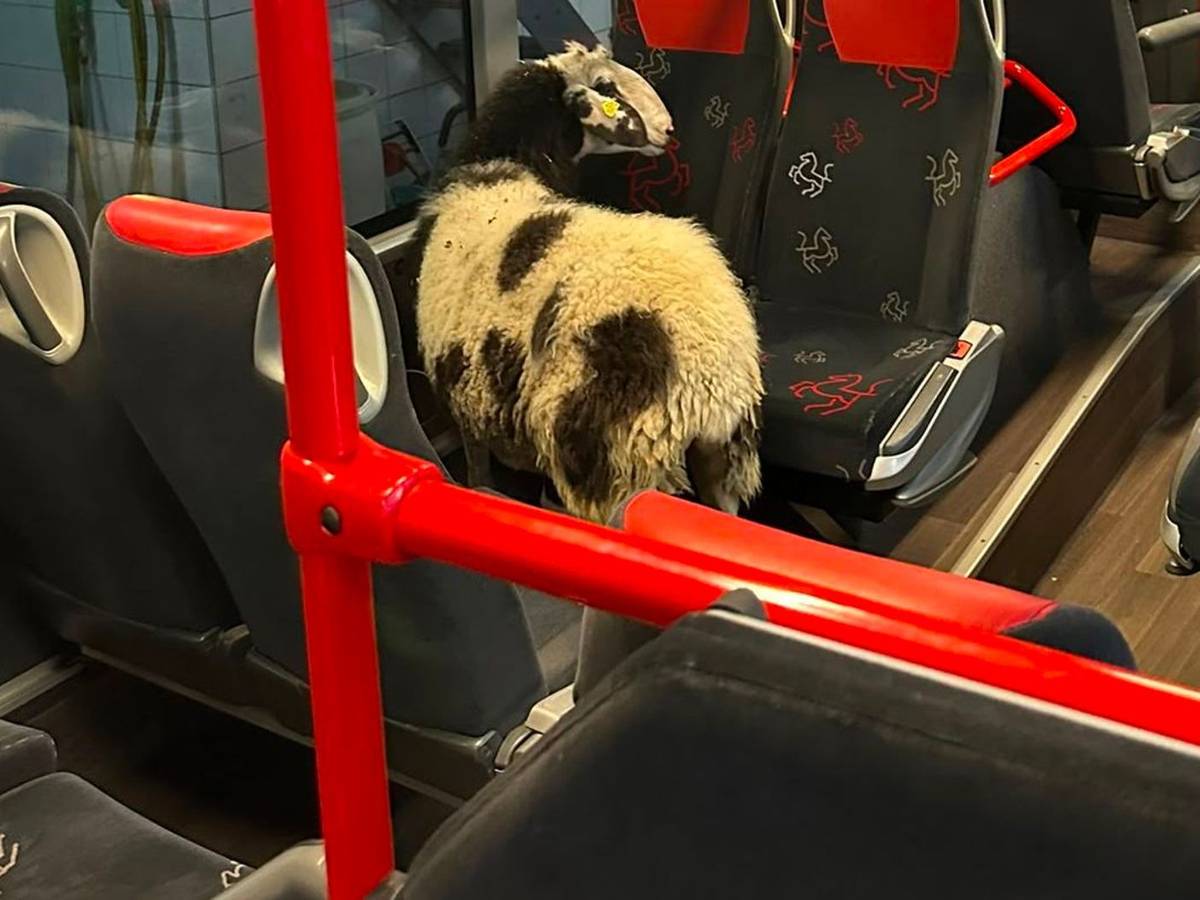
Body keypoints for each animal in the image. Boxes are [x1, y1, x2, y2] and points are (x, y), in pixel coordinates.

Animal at [408, 43, 763, 524]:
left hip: (614, 465)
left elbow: (477, 470)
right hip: (723, 463)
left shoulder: (465, 399)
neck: (501, 167)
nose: (669, 130)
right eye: (605, 86)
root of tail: (711, 380)